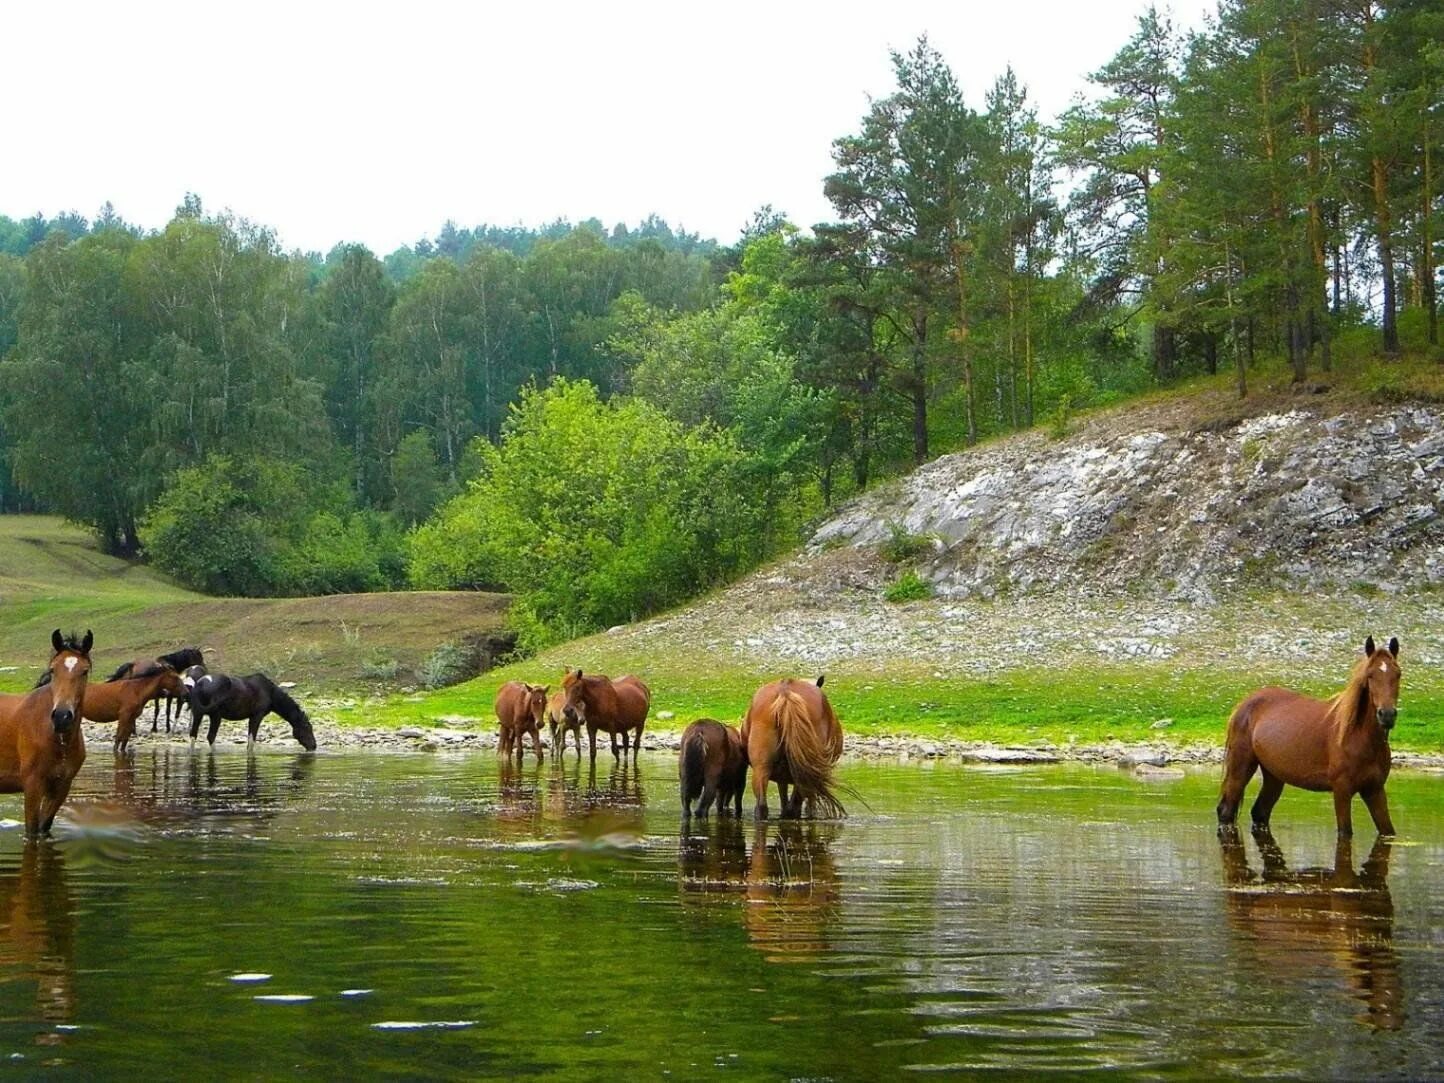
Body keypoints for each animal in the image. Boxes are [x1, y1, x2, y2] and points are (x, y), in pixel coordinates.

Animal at [0, 626, 93, 837]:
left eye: (84, 671)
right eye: (52, 670)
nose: (62, 717)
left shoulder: (60, 788)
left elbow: (44, 829)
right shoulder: (33, 786)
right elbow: (32, 832)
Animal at [745, 678, 843, 820]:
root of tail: (785, 693)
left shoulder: (782, 778)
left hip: (762, 767)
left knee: (762, 805)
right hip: (804, 772)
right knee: (793, 807)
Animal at [1212, 635, 1403, 837]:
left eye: (1397, 674)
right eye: (1370, 675)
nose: (1387, 715)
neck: (1358, 737)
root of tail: (1244, 704)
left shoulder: (1375, 790)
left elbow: (1388, 831)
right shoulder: (1342, 791)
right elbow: (1345, 833)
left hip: (1274, 776)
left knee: (1260, 812)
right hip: (1240, 769)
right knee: (1226, 811)